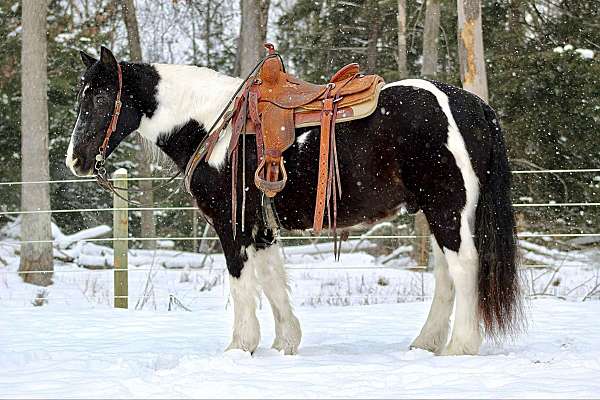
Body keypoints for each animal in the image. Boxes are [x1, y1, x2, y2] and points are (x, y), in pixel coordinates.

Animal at [68, 47, 524, 356]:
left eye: (99, 98)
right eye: (81, 97)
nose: (76, 159)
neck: (214, 126)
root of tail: (470, 104)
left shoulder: (233, 225)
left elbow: (242, 283)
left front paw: (240, 347)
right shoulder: (261, 228)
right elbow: (272, 280)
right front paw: (286, 342)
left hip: (448, 206)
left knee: (464, 266)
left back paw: (460, 346)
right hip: (435, 211)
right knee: (447, 274)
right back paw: (426, 342)